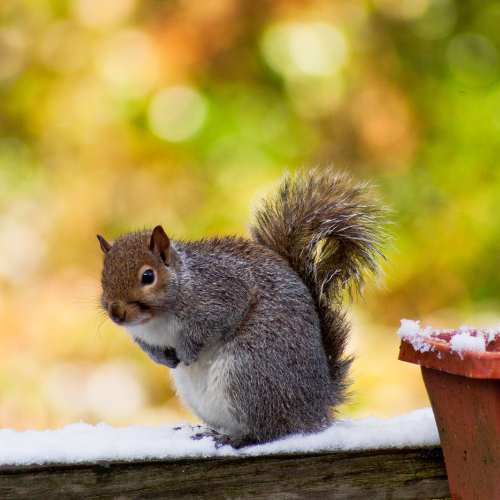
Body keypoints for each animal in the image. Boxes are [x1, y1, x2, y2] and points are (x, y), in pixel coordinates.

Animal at [96, 170, 386, 448]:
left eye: (148, 276)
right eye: (103, 276)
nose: (116, 313)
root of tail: (318, 406)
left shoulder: (224, 293)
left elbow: (209, 327)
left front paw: (188, 352)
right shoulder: (142, 334)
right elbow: (146, 346)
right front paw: (162, 358)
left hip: (249, 373)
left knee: (274, 430)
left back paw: (237, 438)